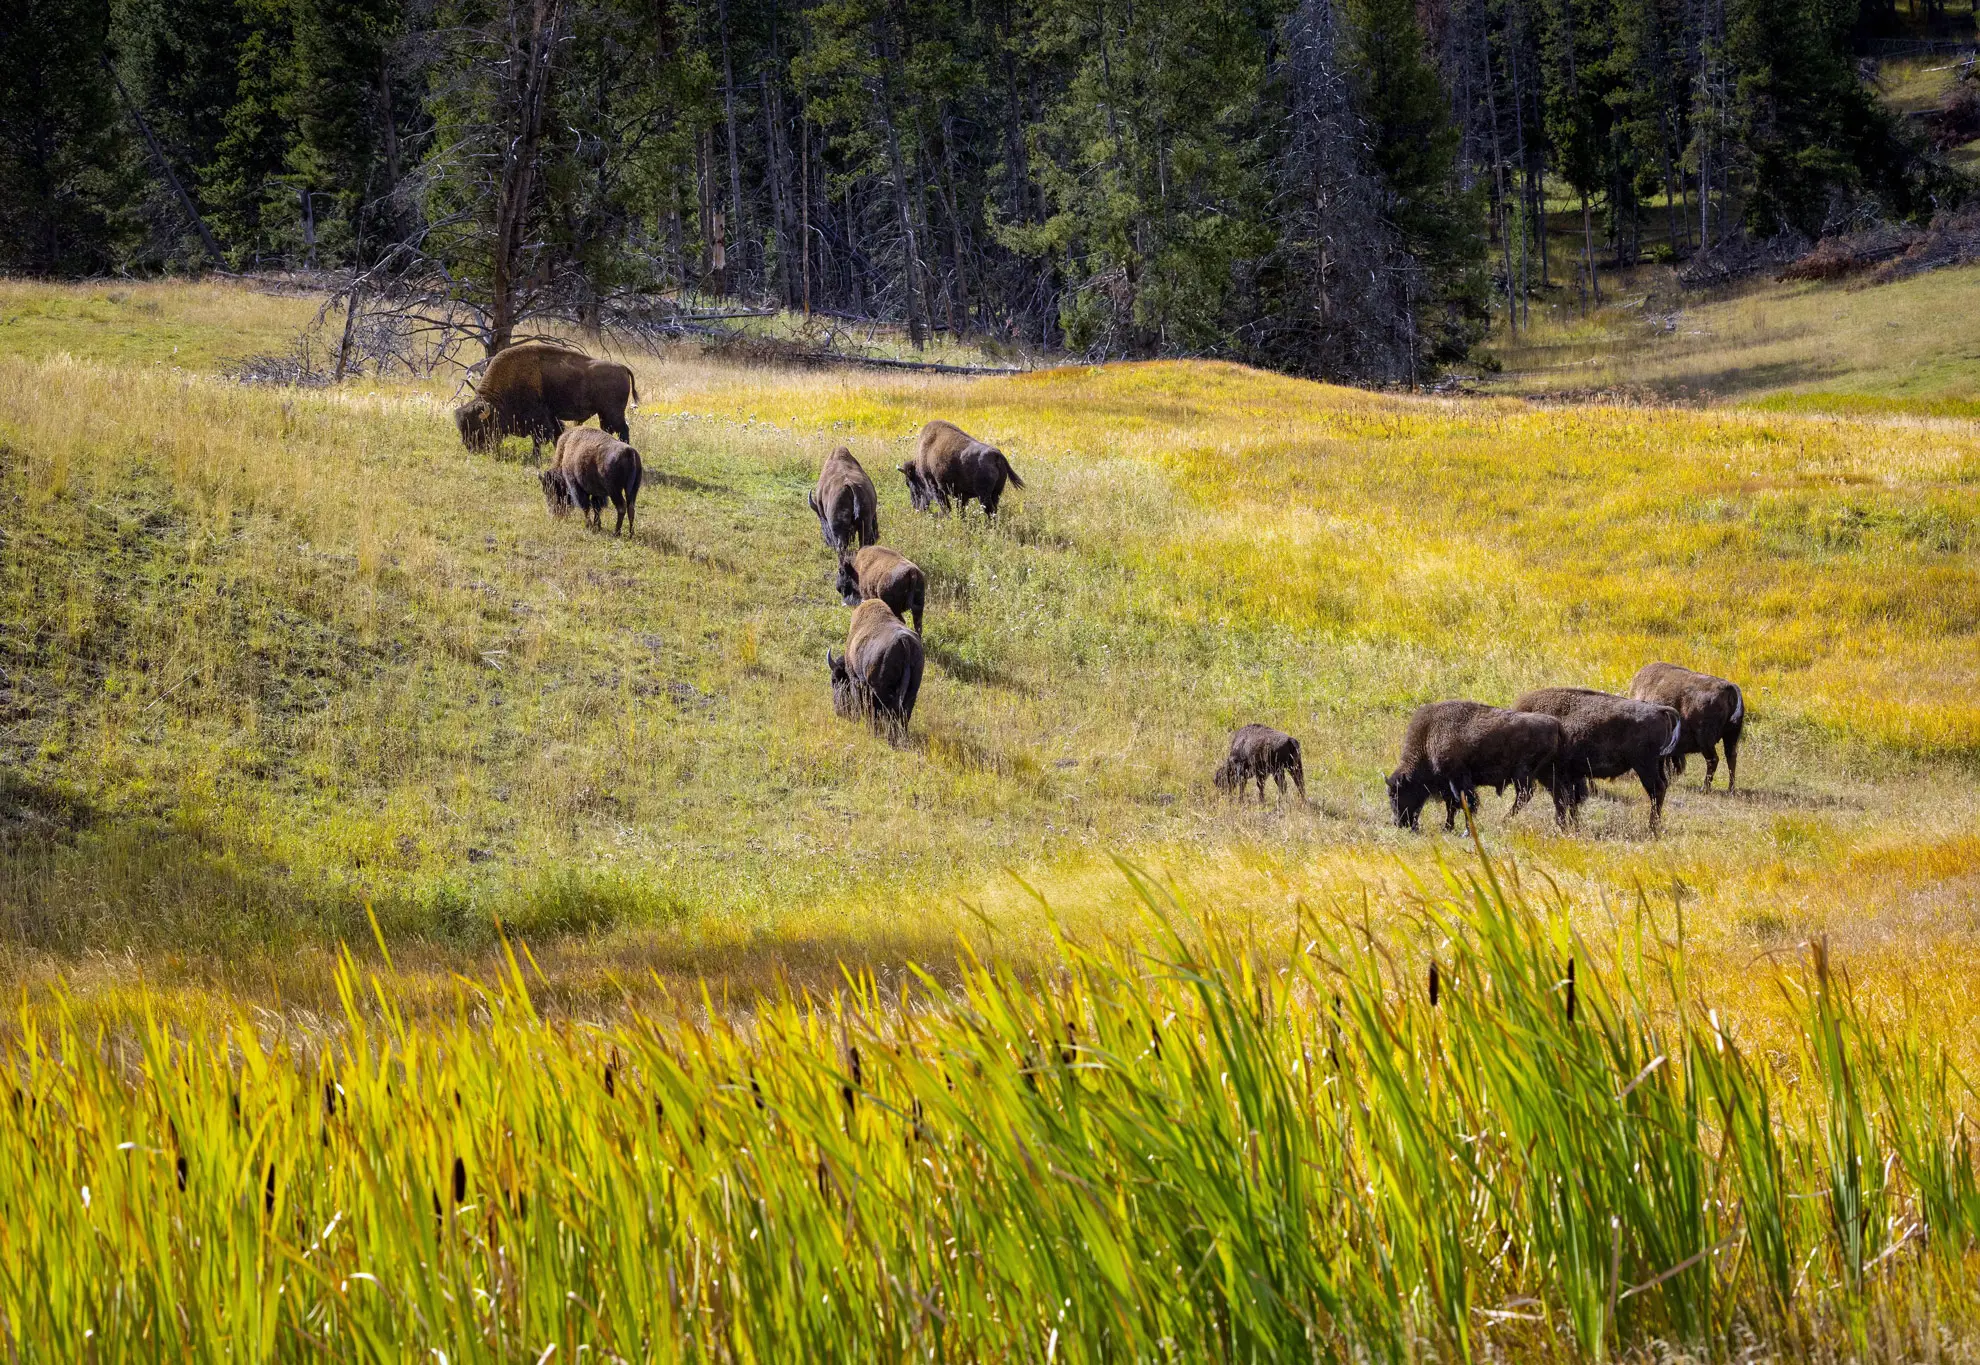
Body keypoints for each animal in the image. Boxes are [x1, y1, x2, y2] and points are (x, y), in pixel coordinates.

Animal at [454, 341, 638, 458]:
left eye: (479, 426)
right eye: (462, 428)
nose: (471, 448)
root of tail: (622, 367)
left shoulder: (539, 420)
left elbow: (540, 439)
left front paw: (537, 459)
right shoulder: (551, 417)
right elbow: (557, 435)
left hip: (613, 413)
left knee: (624, 430)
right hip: (604, 414)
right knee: (610, 430)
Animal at [828, 600, 924, 739]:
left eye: (834, 680)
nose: (840, 712)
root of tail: (904, 640)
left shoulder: (856, 679)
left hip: (880, 690)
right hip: (912, 690)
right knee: (904, 714)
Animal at [1388, 700, 1568, 831]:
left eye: (1396, 794)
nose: (1399, 823)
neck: (1428, 738)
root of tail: (1555, 723)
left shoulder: (1458, 781)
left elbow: (1466, 804)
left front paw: (1465, 829)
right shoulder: (1448, 786)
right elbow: (1451, 806)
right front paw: (1447, 828)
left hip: (1523, 775)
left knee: (1526, 795)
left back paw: (1504, 820)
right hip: (1544, 774)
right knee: (1558, 795)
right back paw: (1562, 825)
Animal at [1513, 687, 1682, 831]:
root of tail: (1659, 710)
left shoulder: (1554, 777)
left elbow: (1562, 801)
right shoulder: (1572, 777)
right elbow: (1572, 801)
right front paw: (1574, 826)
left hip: (1645, 766)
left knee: (1657, 789)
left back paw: (1652, 828)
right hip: (1657, 764)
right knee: (1662, 787)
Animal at [1629, 662, 1745, 792]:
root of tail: (1730, 687)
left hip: (1706, 741)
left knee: (1713, 760)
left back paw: (1704, 789)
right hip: (1731, 736)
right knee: (1731, 757)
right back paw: (1730, 789)